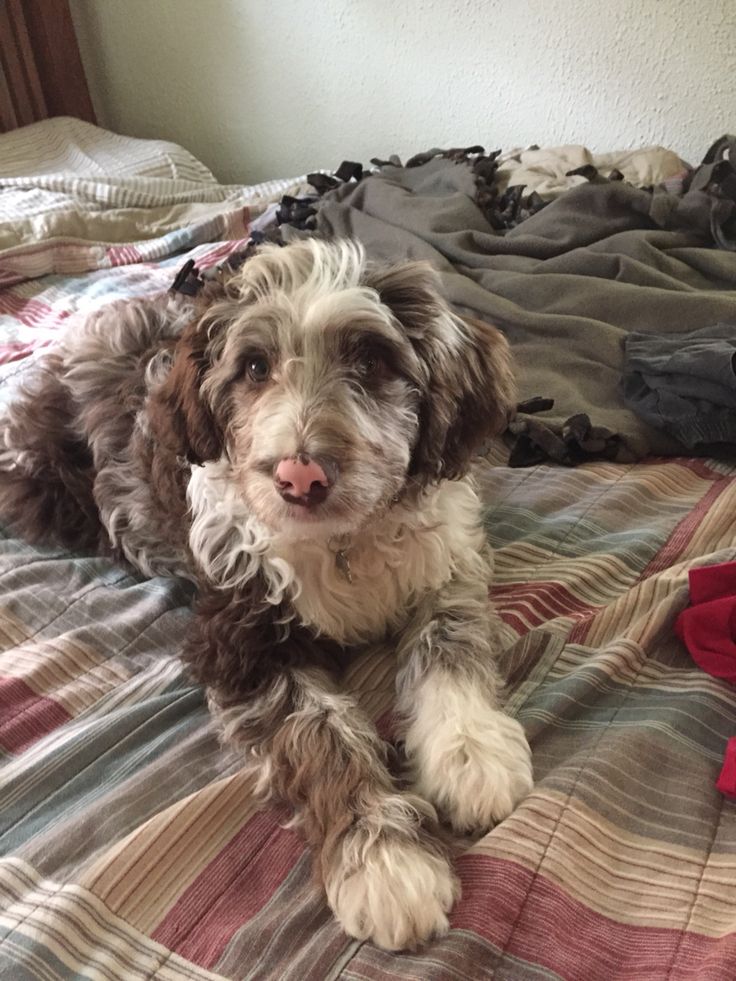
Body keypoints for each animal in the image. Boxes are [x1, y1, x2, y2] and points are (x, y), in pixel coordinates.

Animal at [0, 239, 532, 948]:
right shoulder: (240, 638)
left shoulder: (447, 566)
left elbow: (450, 644)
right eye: (254, 367)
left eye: (372, 360)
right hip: (49, 486)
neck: (341, 542)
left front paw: (471, 753)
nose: (299, 477)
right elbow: (320, 730)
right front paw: (383, 859)